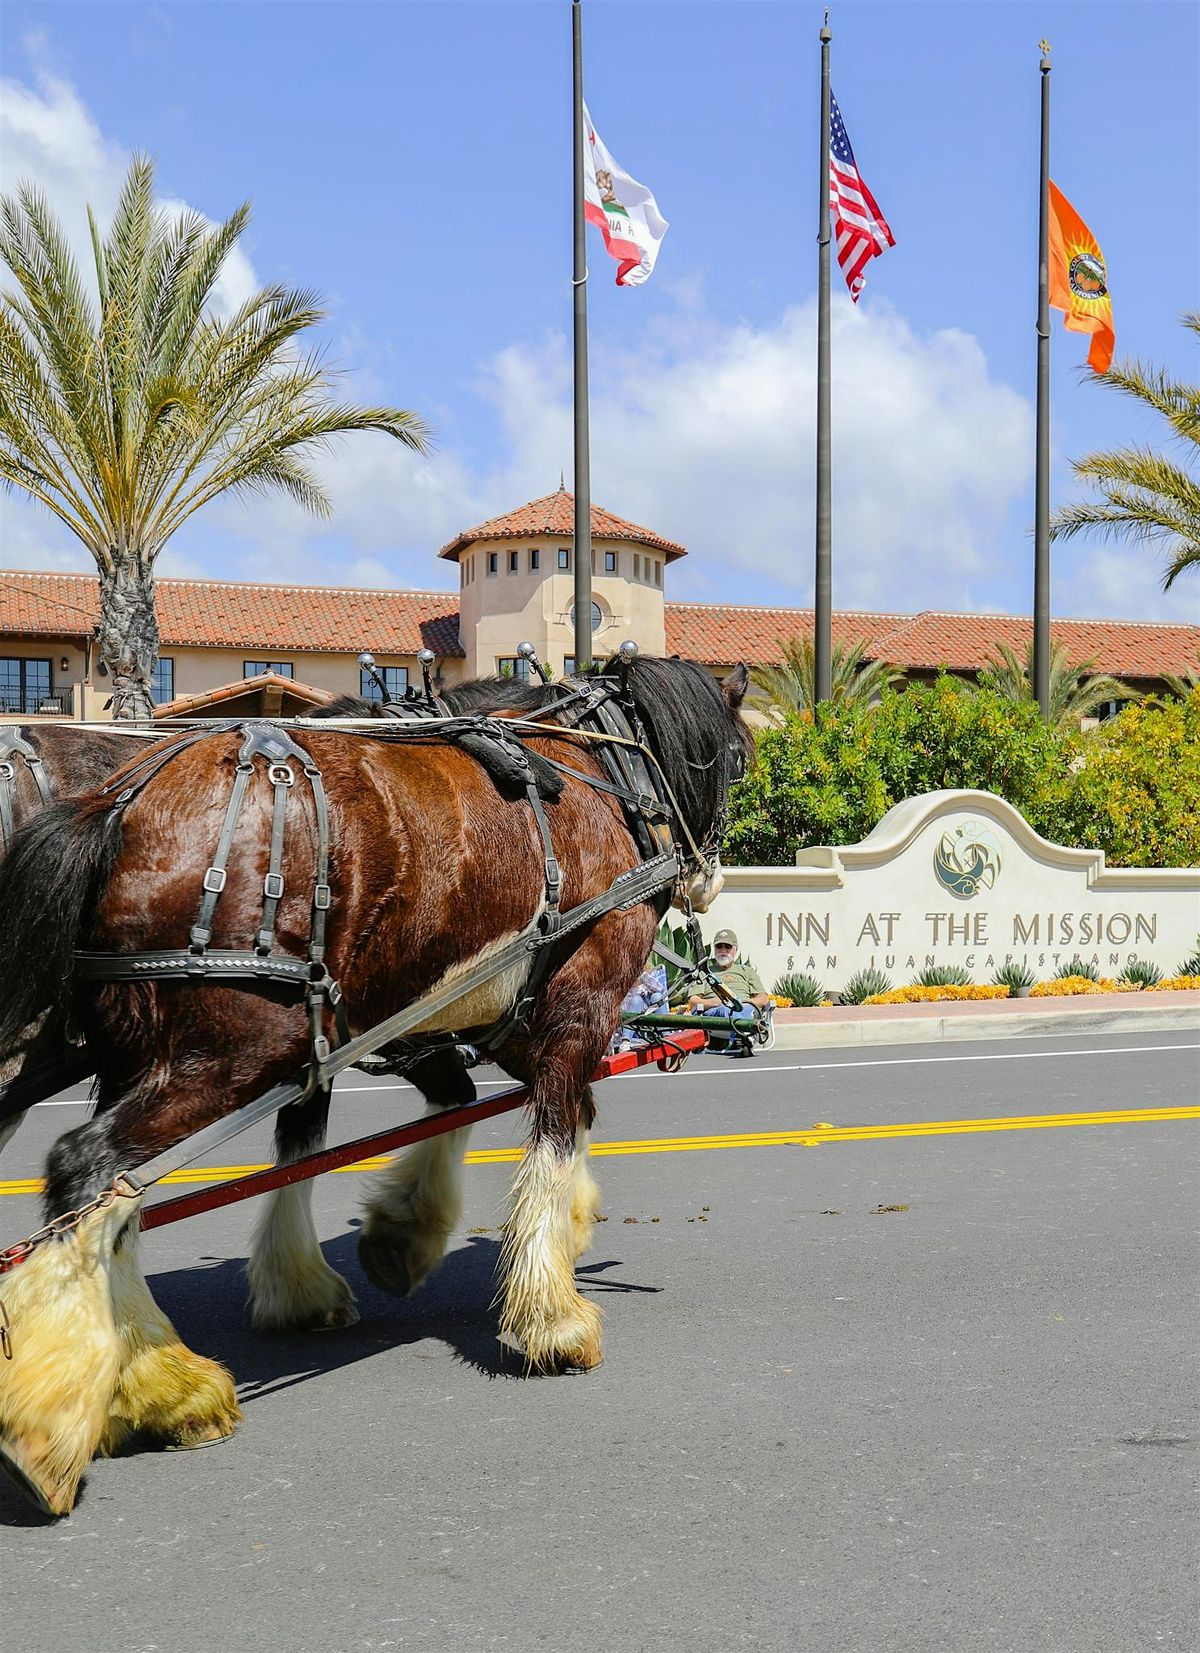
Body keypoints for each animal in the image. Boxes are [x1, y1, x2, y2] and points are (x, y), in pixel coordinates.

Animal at [0, 654, 753, 1514]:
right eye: (738, 759)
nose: (706, 881)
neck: (600, 772)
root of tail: (121, 798)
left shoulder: (411, 1017)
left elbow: (415, 1117)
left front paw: (389, 1243)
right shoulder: (573, 1009)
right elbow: (558, 1128)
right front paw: (553, 1316)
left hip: (133, 1047)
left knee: (115, 1201)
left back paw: (158, 1383)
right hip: (233, 1049)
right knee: (88, 1171)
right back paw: (58, 1419)